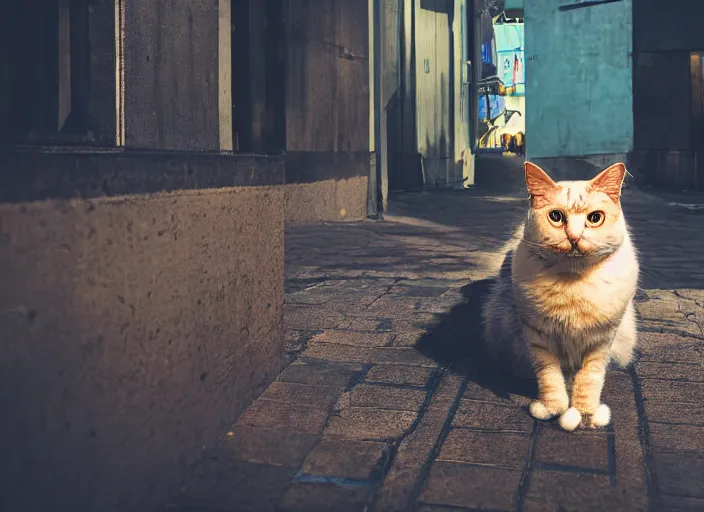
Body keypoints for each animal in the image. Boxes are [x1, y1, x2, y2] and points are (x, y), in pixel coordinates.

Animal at [484, 162, 640, 430]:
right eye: (556, 217)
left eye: (595, 218)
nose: (574, 238)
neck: (573, 281)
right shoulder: (537, 337)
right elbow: (550, 379)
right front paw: (552, 409)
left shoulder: (601, 340)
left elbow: (589, 380)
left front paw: (585, 414)